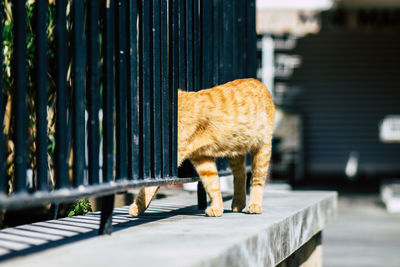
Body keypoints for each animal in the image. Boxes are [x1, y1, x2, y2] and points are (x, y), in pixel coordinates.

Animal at [130, 78, 274, 217]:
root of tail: (260, 83)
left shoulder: (170, 159)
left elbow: (148, 187)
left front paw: (137, 206)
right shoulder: (202, 158)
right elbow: (212, 184)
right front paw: (217, 207)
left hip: (263, 150)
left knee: (257, 180)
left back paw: (254, 206)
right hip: (235, 152)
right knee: (241, 175)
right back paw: (238, 203)